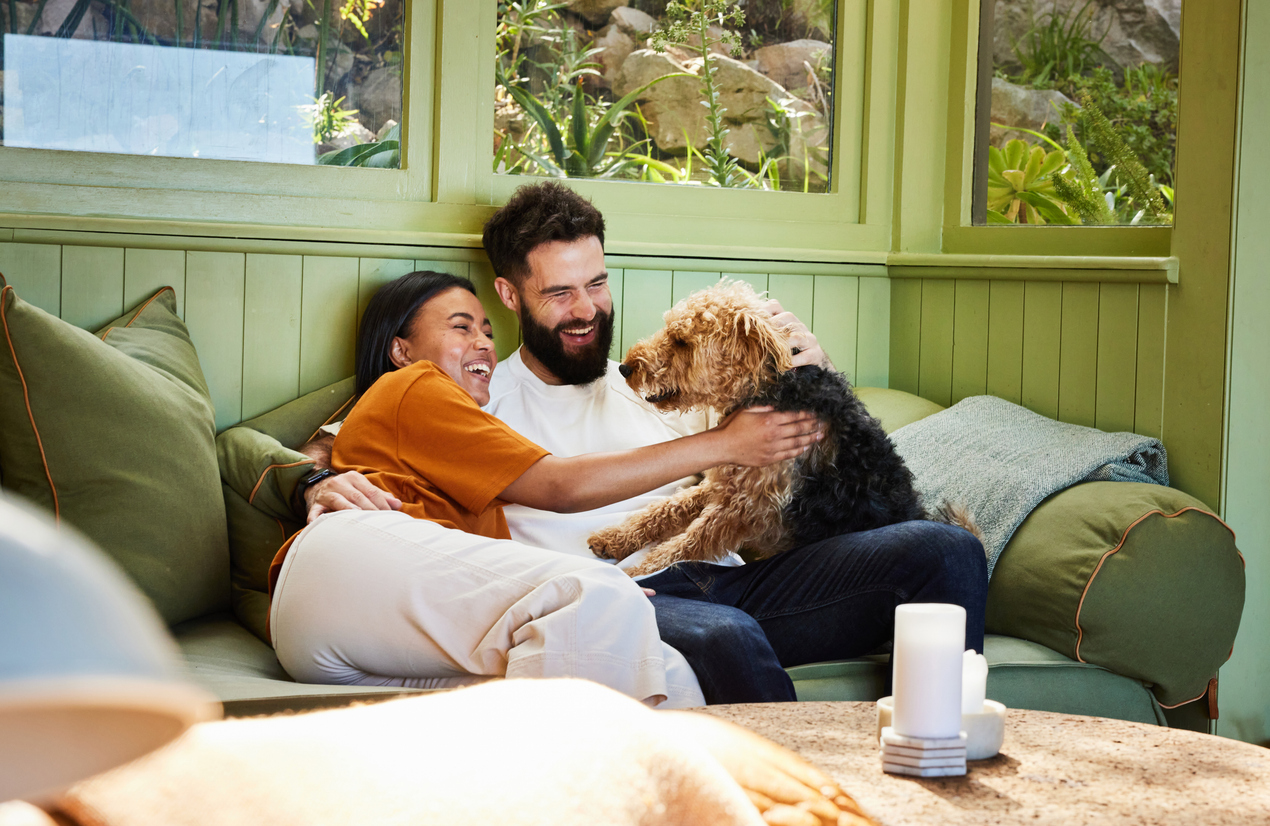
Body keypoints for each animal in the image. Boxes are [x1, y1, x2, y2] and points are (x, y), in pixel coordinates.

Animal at [586, 279, 980, 576]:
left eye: (682, 341)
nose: (626, 368)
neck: (765, 391)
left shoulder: (744, 507)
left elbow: (685, 543)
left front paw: (637, 572)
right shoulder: (724, 483)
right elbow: (664, 510)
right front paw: (614, 538)